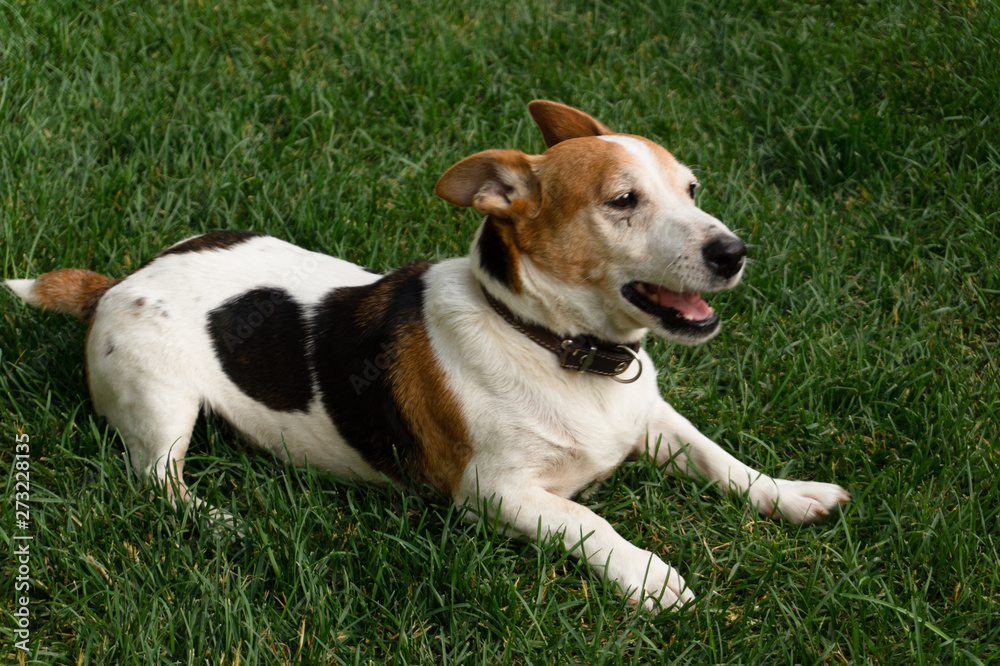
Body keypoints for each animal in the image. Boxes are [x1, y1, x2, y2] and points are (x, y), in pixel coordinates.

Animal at [7, 100, 852, 608]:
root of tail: (119, 283)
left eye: (692, 188)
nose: (734, 252)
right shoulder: (495, 493)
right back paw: (217, 519)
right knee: (156, 482)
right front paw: (648, 576)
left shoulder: (653, 419)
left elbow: (722, 461)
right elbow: (590, 523)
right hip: (160, 402)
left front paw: (790, 495)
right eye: (623, 201)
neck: (550, 344)